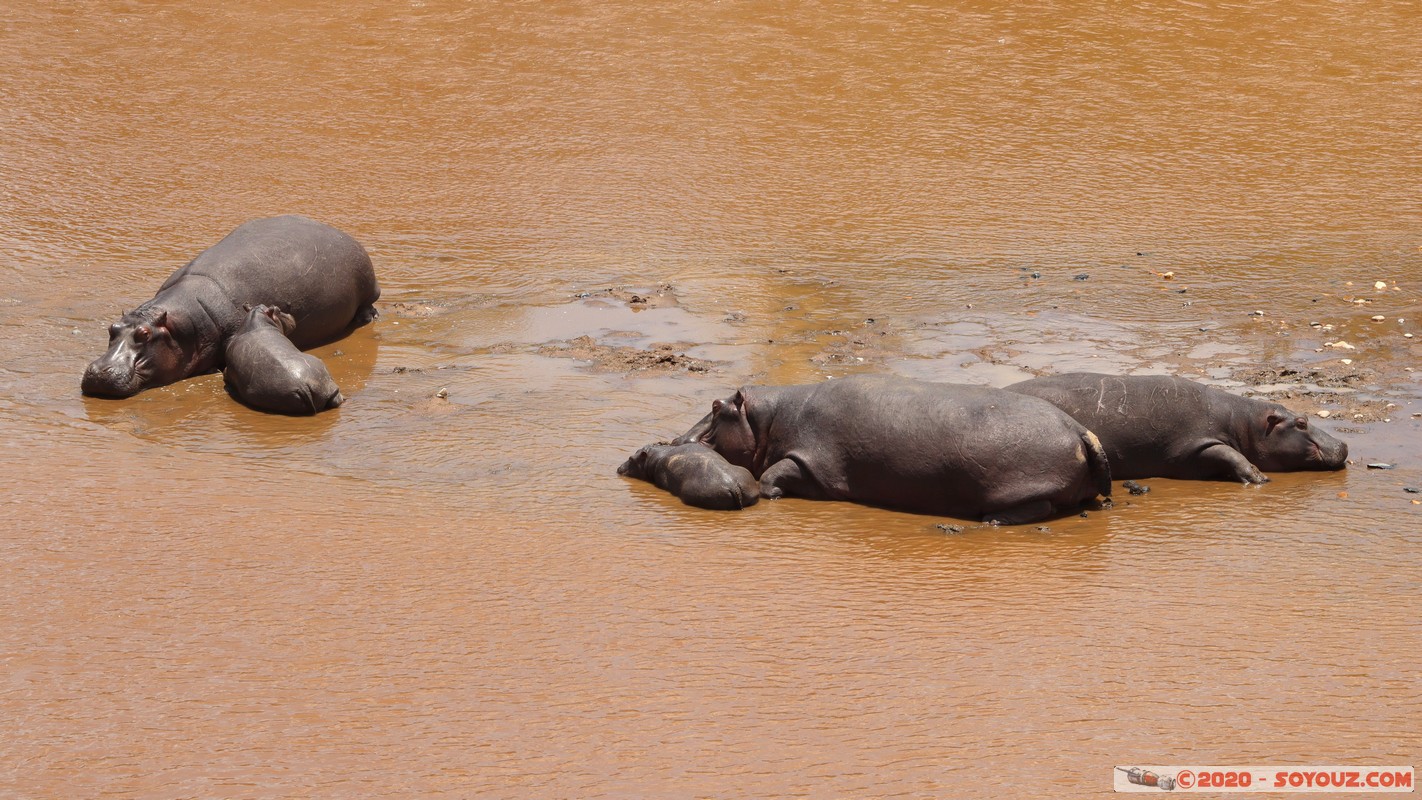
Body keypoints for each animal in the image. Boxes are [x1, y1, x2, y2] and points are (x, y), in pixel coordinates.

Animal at [80, 214, 375, 397]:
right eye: (111, 328)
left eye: (144, 335)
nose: (99, 372)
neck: (180, 325)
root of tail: (336, 230)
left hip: (370, 285)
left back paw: (368, 318)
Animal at [674, 377, 1109, 525]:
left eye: (716, 406)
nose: (677, 440)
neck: (770, 416)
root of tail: (1079, 429)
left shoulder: (811, 460)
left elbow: (772, 474)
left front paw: (773, 493)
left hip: (1023, 487)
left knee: (1039, 506)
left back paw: (993, 521)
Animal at [1006, 375, 1348, 483]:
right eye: (1301, 423)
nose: (1344, 445)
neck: (1245, 422)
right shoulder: (1195, 444)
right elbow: (1231, 454)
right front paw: (1259, 478)